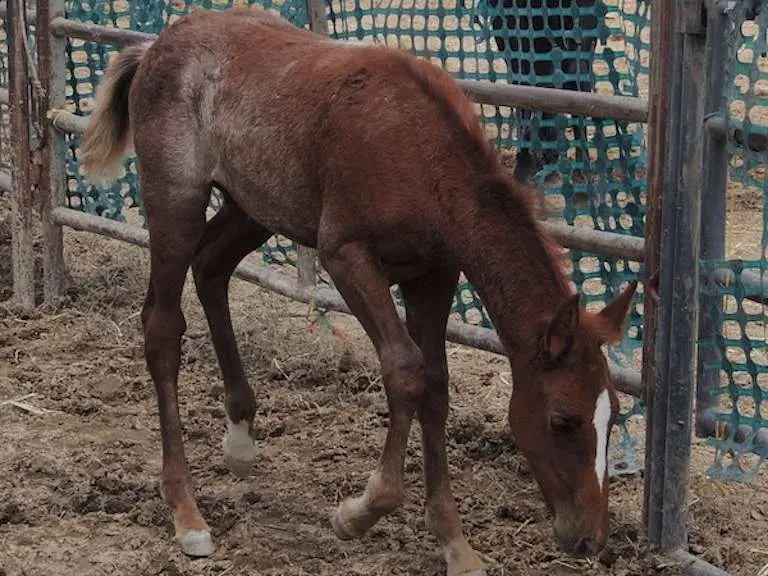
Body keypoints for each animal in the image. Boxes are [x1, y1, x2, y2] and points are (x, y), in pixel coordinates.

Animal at [81, 7, 640, 572]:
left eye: (614, 413)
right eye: (563, 419)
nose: (590, 539)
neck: (420, 154)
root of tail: (155, 45)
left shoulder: (433, 275)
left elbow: (436, 384)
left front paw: (454, 542)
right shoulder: (346, 256)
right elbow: (406, 369)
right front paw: (360, 511)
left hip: (253, 205)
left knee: (212, 268)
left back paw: (239, 435)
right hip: (176, 200)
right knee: (162, 328)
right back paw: (187, 511)